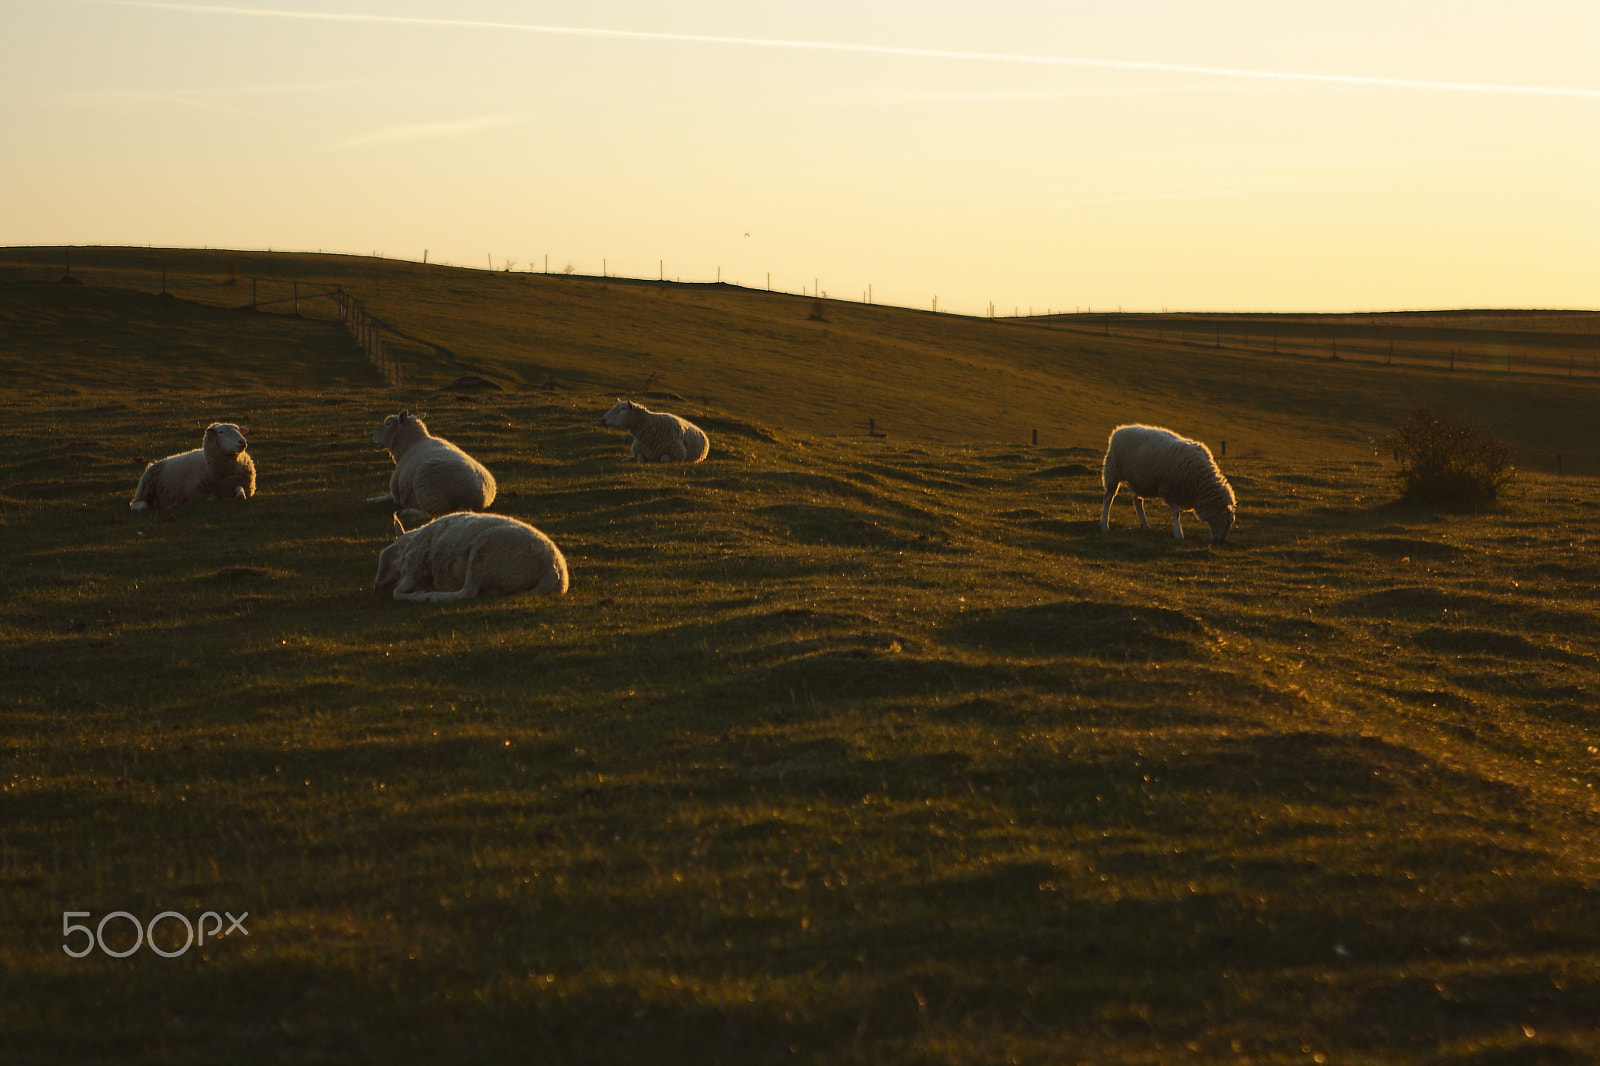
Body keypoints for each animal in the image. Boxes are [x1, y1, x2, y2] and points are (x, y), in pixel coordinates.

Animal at [128, 422, 256, 508]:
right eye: (221, 432)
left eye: (239, 430)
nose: (242, 442)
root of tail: (154, 463)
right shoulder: (196, 494)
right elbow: (211, 498)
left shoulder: (242, 483)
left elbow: (241, 491)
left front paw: (239, 495)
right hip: (145, 489)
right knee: (138, 504)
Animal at [374, 512, 569, 601]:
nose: (377, 583)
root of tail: (553, 570)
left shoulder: (415, 567)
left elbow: (397, 593)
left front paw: (419, 594)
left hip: (484, 555)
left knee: (468, 592)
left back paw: (434, 596)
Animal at [1100, 422, 1235, 541]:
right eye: (1227, 522)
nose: (1220, 541)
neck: (1199, 482)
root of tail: (1119, 429)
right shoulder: (1169, 490)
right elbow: (1176, 513)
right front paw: (1178, 533)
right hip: (1113, 471)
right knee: (1108, 499)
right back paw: (1104, 525)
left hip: (1141, 480)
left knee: (1137, 500)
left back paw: (1144, 524)